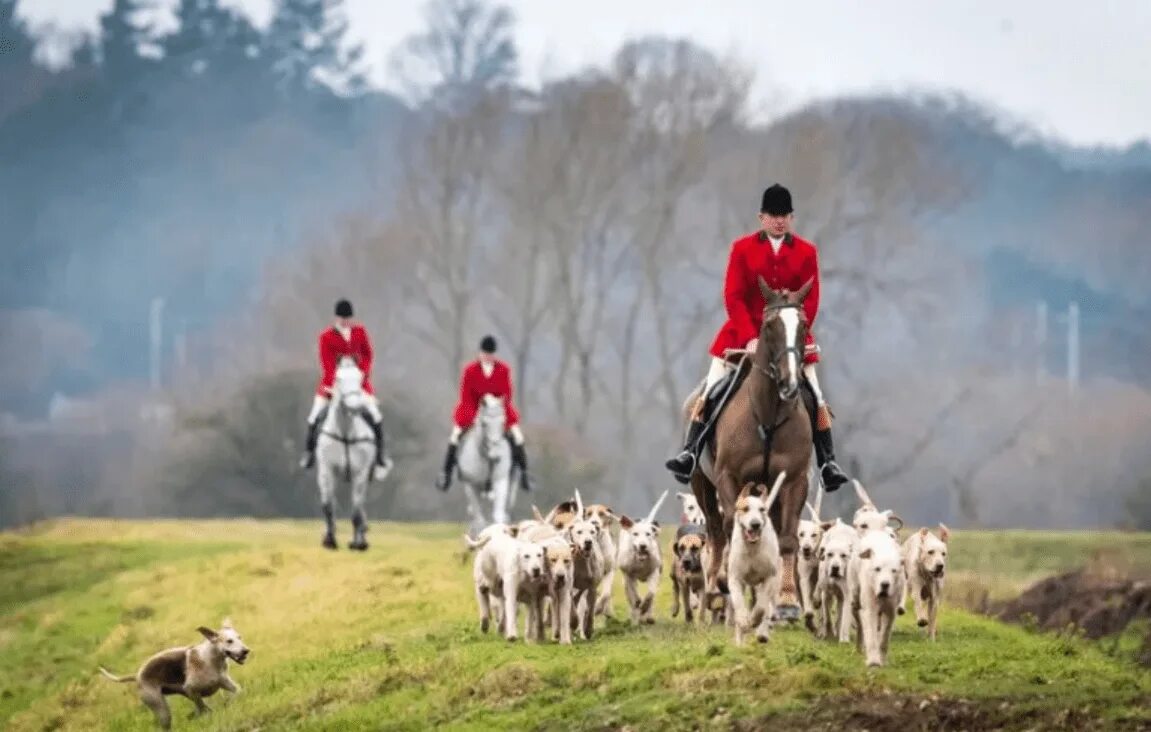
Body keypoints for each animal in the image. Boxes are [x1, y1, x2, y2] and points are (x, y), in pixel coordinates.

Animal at [315, 356, 391, 552]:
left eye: (359, 378)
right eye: (339, 379)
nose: (356, 408)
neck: (345, 432)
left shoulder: (360, 473)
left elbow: (357, 511)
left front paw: (358, 543)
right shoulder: (327, 471)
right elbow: (328, 506)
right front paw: (329, 540)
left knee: (361, 507)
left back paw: (361, 536)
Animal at [453, 393, 517, 531]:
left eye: (503, 422)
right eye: (484, 424)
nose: (496, 456)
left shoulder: (501, 482)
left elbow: (498, 516)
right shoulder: (471, 486)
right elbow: (479, 520)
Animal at [685, 277, 814, 621]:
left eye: (803, 324)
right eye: (769, 325)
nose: (789, 382)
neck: (767, 414)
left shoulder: (794, 480)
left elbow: (787, 539)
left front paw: (787, 601)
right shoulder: (728, 477)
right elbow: (731, 525)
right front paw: (723, 581)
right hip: (701, 484)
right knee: (716, 530)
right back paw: (715, 589)